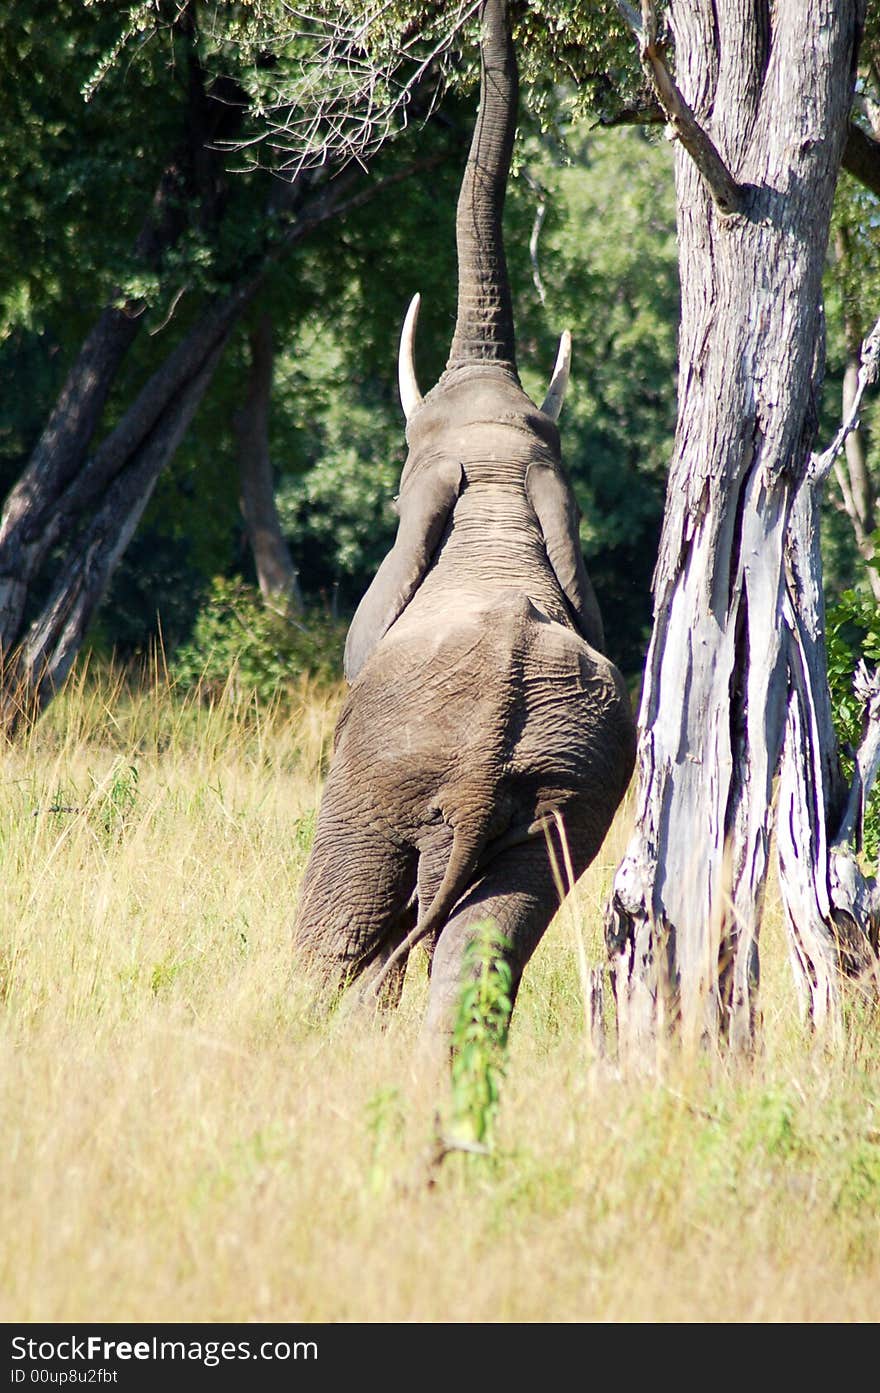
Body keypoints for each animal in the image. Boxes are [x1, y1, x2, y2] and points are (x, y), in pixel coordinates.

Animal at [293, 0, 632, 1036]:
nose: (503, 17)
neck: (495, 512)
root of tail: (488, 747)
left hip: (382, 774)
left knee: (340, 925)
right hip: (562, 792)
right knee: (480, 946)